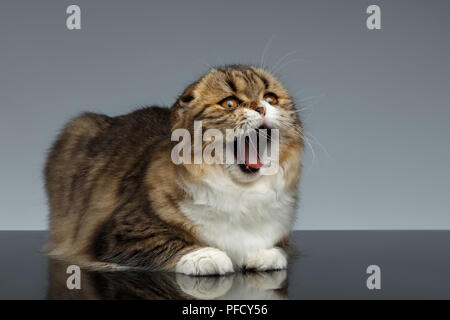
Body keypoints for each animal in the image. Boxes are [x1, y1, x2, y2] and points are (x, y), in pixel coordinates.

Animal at [44, 64, 306, 276]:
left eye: (270, 99)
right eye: (230, 104)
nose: (262, 109)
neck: (241, 192)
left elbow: (271, 247)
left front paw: (264, 254)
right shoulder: (123, 232)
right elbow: (173, 242)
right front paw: (207, 256)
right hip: (77, 127)